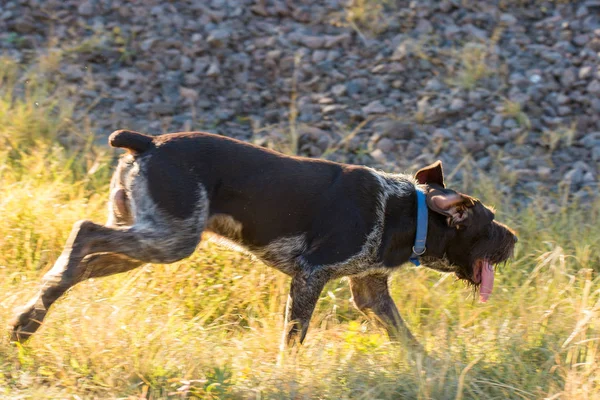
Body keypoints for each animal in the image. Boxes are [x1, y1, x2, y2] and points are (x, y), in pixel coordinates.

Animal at [8, 130, 516, 348]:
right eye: (489, 222)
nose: (515, 240)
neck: (404, 212)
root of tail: (147, 142)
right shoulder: (311, 276)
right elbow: (293, 339)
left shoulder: (369, 291)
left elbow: (409, 342)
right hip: (168, 240)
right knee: (83, 233)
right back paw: (29, 316)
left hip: (148, 240)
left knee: (81, 261)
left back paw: (28, 320)